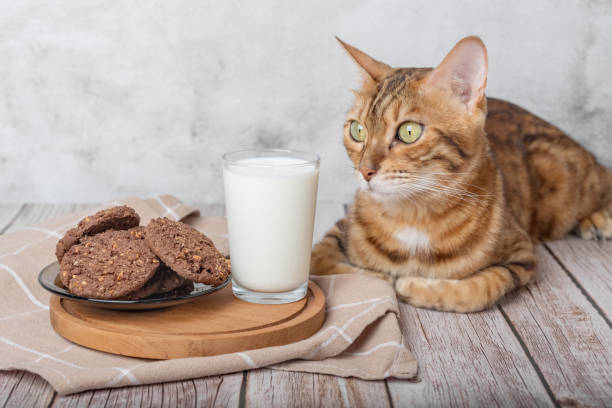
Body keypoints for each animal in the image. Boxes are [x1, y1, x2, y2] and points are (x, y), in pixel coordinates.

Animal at [310, 37, 612, 312]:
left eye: (409, 131)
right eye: (357, 130)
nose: (365, 171)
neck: (413, 215)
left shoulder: (521, 255)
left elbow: (483, 287)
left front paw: (413, 285)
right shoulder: (338, 229)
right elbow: (323, 261)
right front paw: (382, 276)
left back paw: (597, 219)